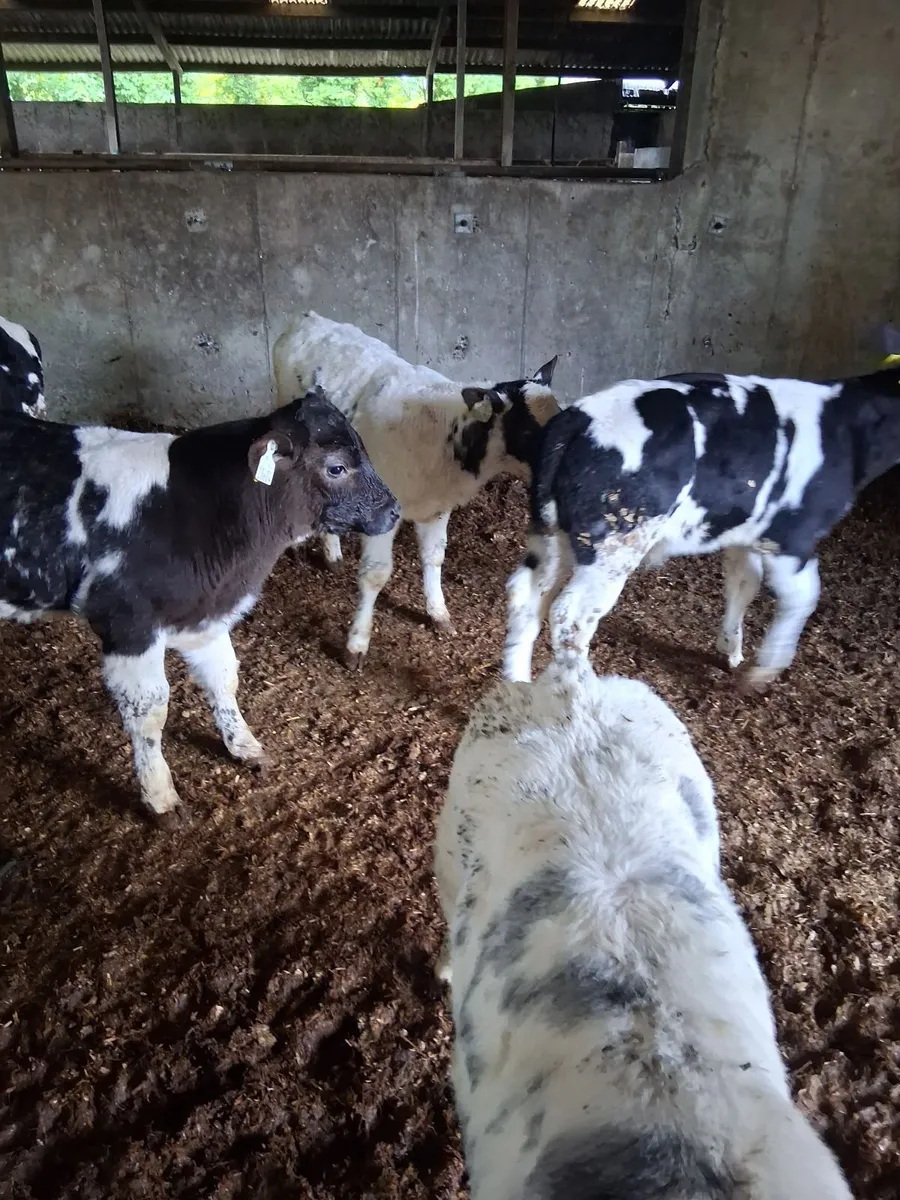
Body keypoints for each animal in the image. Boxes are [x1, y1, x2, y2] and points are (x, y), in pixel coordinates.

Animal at [0, 387, 399, 819]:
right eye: (337, 467)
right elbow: (149, 711)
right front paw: (160, 796)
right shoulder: (129, 625)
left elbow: (223, 676)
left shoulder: (205, 615)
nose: (394, 511)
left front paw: (243, 745)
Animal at [273, 312, 559, 669]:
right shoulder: (383, 512)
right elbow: (375, 575)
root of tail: (308, 317)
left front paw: (438, 613)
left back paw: (332, 553)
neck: (449, 436)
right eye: (529, 431)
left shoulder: (436, 508)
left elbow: (434, 557)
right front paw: (356, 644)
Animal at [503, 365, 900, 688]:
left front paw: (731, 649)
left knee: (526, 595)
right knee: (570, 616)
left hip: (552, 535)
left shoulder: (743, 533)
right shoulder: (790, 536)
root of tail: (575, 420)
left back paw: (517, 680)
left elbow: (744, 582)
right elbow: (804, 597)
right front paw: (764, 669)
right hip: (614, 546)